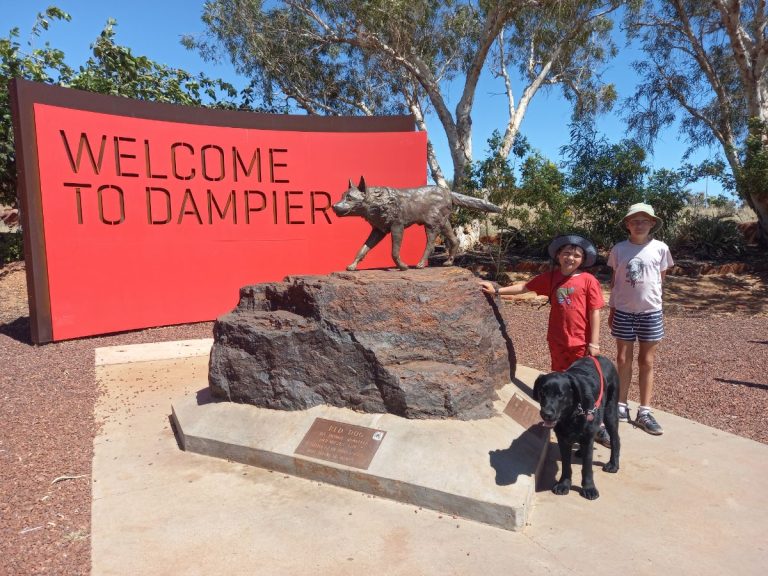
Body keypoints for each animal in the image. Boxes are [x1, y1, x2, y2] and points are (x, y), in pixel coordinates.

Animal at [536, 356, 620, 500]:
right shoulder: (563, 439)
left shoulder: (587, 439)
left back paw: (613, 464)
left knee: (615, 439)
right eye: (542, 393)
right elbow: (566, 464)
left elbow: (587, 467)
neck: (572, 415)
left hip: (610, 412)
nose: (546, 414)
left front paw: (589, 488)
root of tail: (601, 357)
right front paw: (564, 484)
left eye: (560, 395)